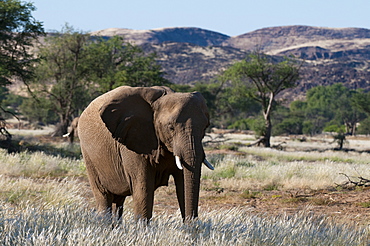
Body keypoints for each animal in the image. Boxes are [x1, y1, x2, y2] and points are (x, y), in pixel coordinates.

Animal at [78, 86, 214, 221]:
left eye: (205, 127)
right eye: (171, 128)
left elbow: (183, 186)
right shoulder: (133, 142)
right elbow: (143, 190)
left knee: (119, 202)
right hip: (89, 156)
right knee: (104, 198)